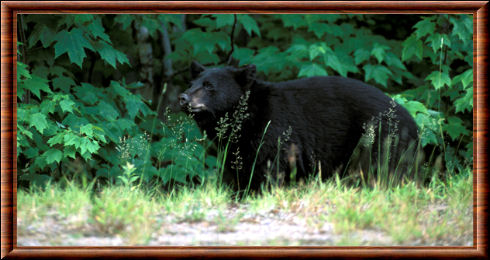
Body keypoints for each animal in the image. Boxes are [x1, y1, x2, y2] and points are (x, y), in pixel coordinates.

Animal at [179, 61, 418, 191]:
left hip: (379, 138)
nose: (183, 98)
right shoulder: (238, 145)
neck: (247, 117)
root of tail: (411, 121)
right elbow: (240, 168)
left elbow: (271, 167)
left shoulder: (274, 131)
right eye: (191, 84)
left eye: (209, 86)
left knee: (382, 169)